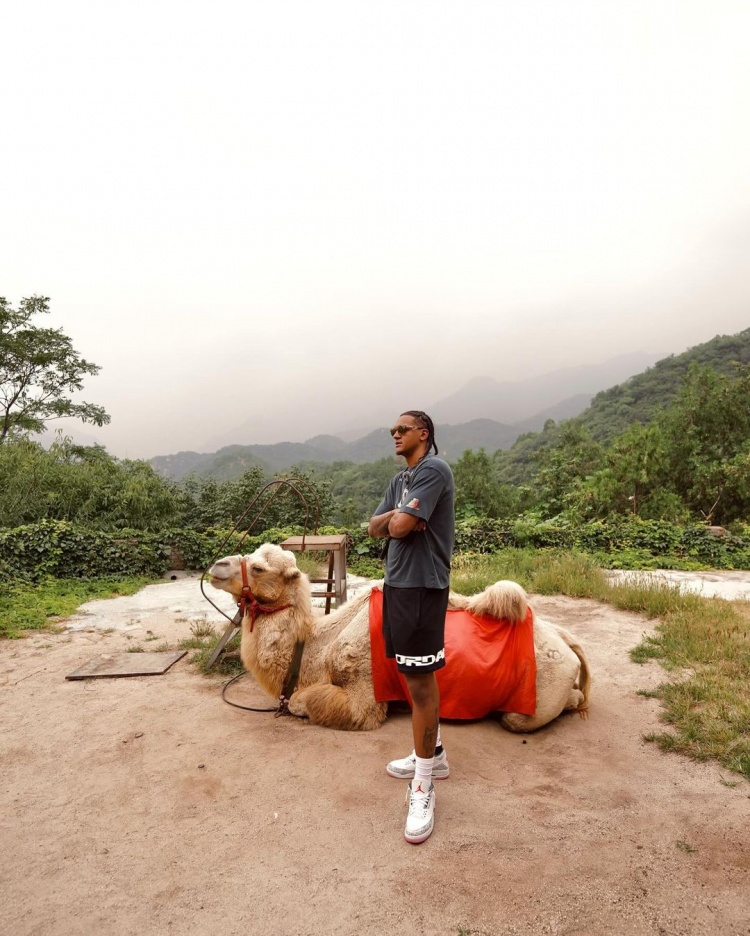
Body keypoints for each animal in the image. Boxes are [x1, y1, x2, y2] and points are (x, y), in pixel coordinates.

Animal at [209, 540, 592, 732]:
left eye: (258, 567)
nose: (217, 566)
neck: (316, 647)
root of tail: (566, 641)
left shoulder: (362, 689)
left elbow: (308, 703)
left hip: (540, 691)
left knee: (523, 717)